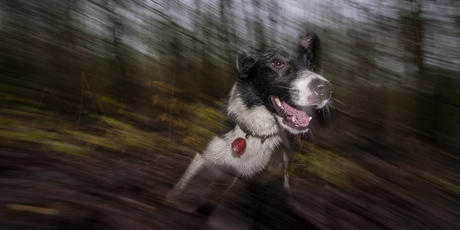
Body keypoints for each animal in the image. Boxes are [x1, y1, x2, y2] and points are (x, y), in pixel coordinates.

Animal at [169, 31, 330, 198]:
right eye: (278, 63)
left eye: (311, 66)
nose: (325, 89)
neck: (254, 132)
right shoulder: (205, 154)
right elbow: (184, 181)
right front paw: (173, 195)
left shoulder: (246, 176)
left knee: (285, 171)